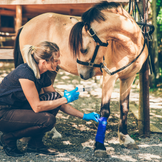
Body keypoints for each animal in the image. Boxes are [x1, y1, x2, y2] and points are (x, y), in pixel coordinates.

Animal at [13, 0, 149, 156]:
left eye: (83, 49)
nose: (83, 74)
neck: (129, 46)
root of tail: (26, 25)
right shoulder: (109, 77)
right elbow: (105, 110)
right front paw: (99, 146)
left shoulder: (128, 78)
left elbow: (124, 108)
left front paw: (125, 138)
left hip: (50, 72)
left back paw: (52, 132)